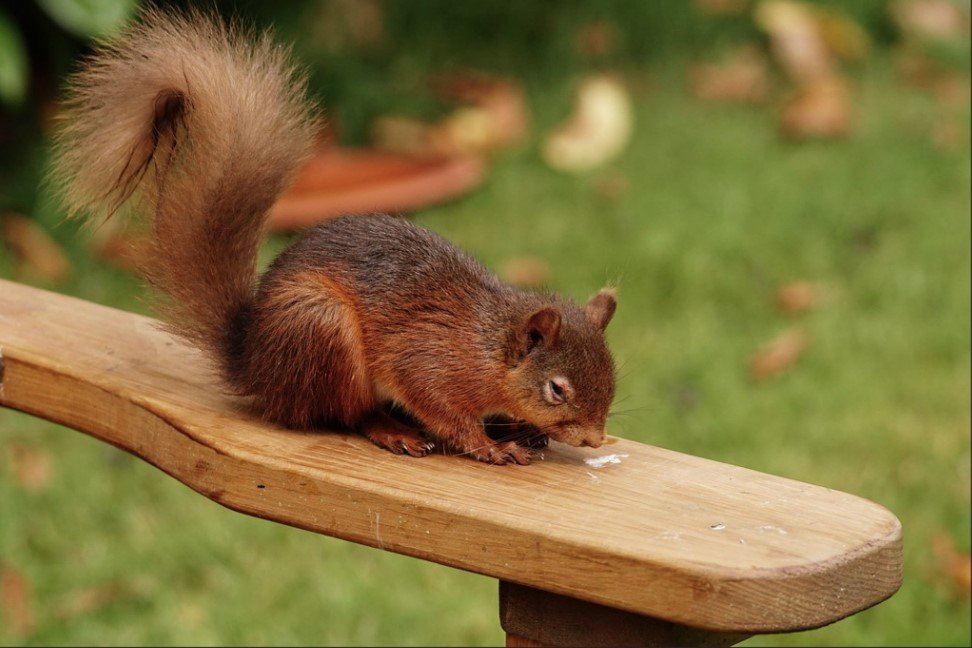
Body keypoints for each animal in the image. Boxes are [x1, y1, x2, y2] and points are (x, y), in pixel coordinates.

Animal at [51, 10, 616, 466]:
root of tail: (254, 367)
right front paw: (490, 445)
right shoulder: (429, 360)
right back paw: (391, 430)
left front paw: (520, 428)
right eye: (557, 389)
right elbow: (442, 409)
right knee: (343, 415)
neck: (487, 344)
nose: (593, 439)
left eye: (611, 374)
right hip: (321, 329)